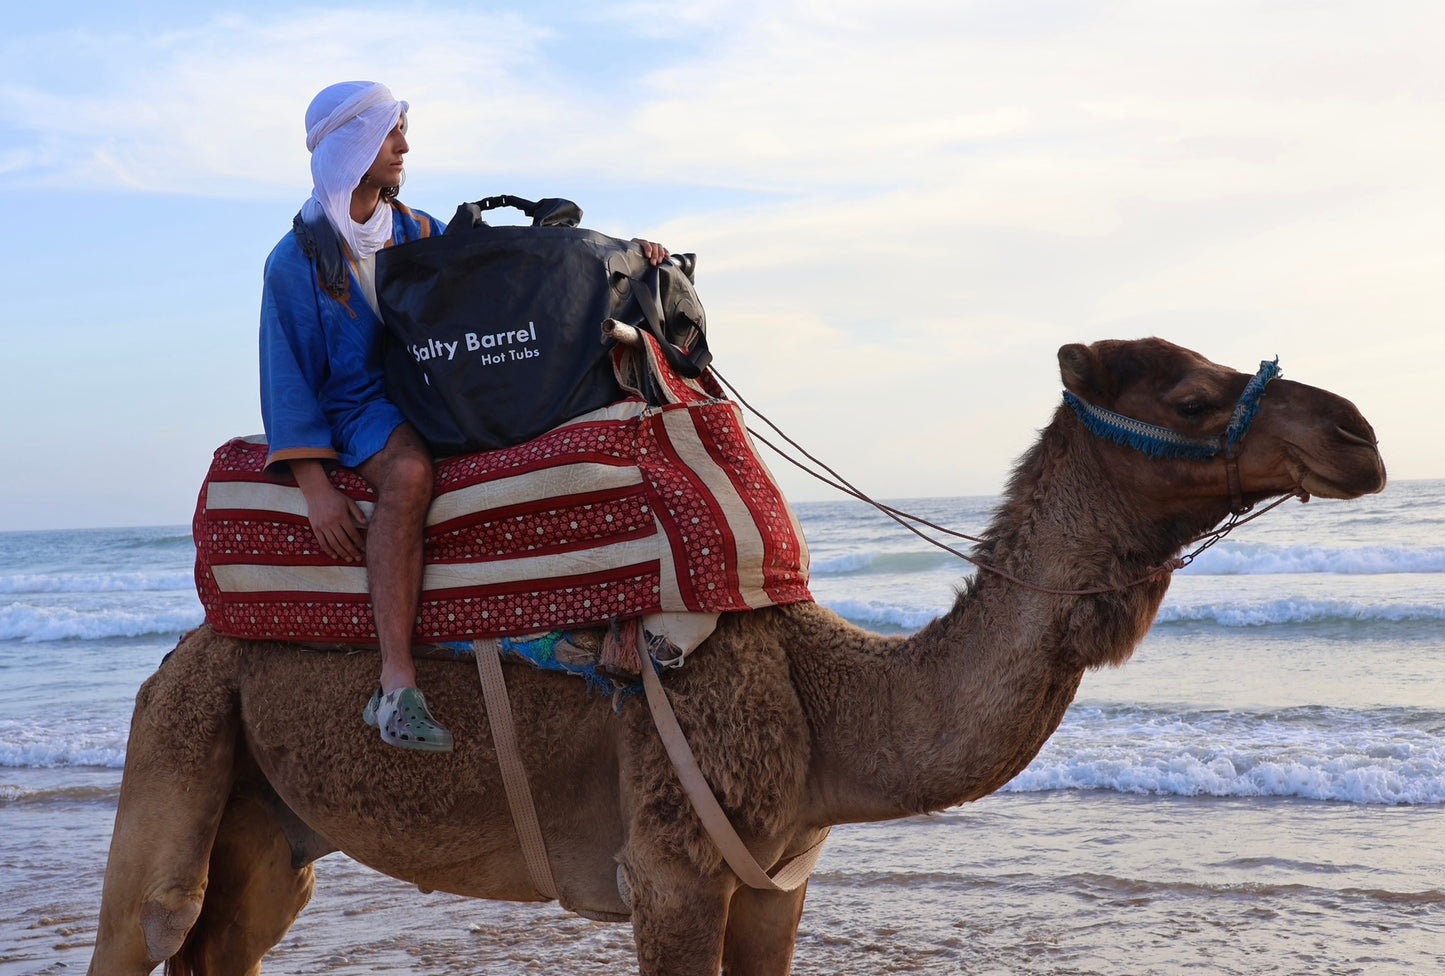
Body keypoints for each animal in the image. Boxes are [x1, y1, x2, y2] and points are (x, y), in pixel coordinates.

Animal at [84, 338, 1381, 976]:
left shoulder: (777, 882)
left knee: (221, 943)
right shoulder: (667, 873)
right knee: (146, 925)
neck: (827, 706)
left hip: (272, 824)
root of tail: (186, 643)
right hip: (178, 735)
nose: (1357, 432)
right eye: (1187, 394)